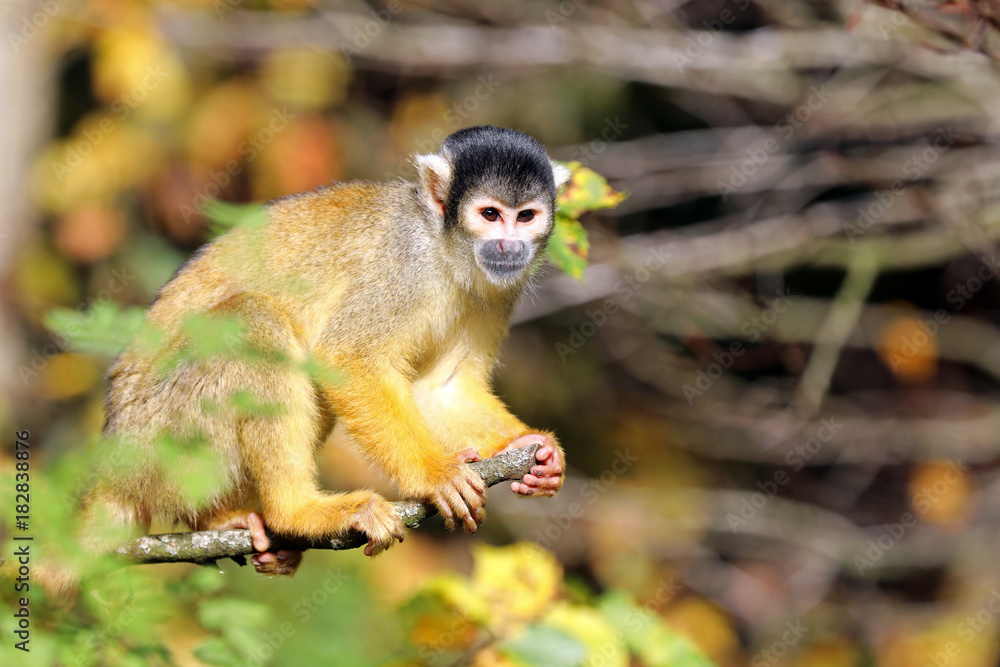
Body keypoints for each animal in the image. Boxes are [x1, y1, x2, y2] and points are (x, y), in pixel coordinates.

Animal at [79, 126, 571, 578]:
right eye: (489, 214)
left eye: (525, 216)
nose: (509, 245)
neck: (446, 250)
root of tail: (114, 460)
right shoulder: (404, 266)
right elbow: (346, 359)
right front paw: (435, 475)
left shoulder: (499, 290)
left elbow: (441, 388)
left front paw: (531, 449)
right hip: (165, 433)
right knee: (257, 321)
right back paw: (294, 511)